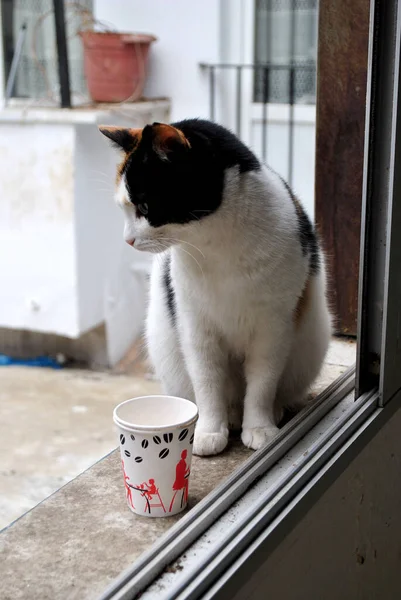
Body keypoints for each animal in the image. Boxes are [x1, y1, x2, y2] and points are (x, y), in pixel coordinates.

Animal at [100, 119, 332, 454]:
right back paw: (231, 415)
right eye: (124, 209)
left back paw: (267, 412)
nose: (128, 240)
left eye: (144, 206)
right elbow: (207, 382)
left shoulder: (273, 329)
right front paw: (210, 430)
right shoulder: (196, 327)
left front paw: (259, 427)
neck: (216, 246)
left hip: (311, 340)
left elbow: (262, 383)